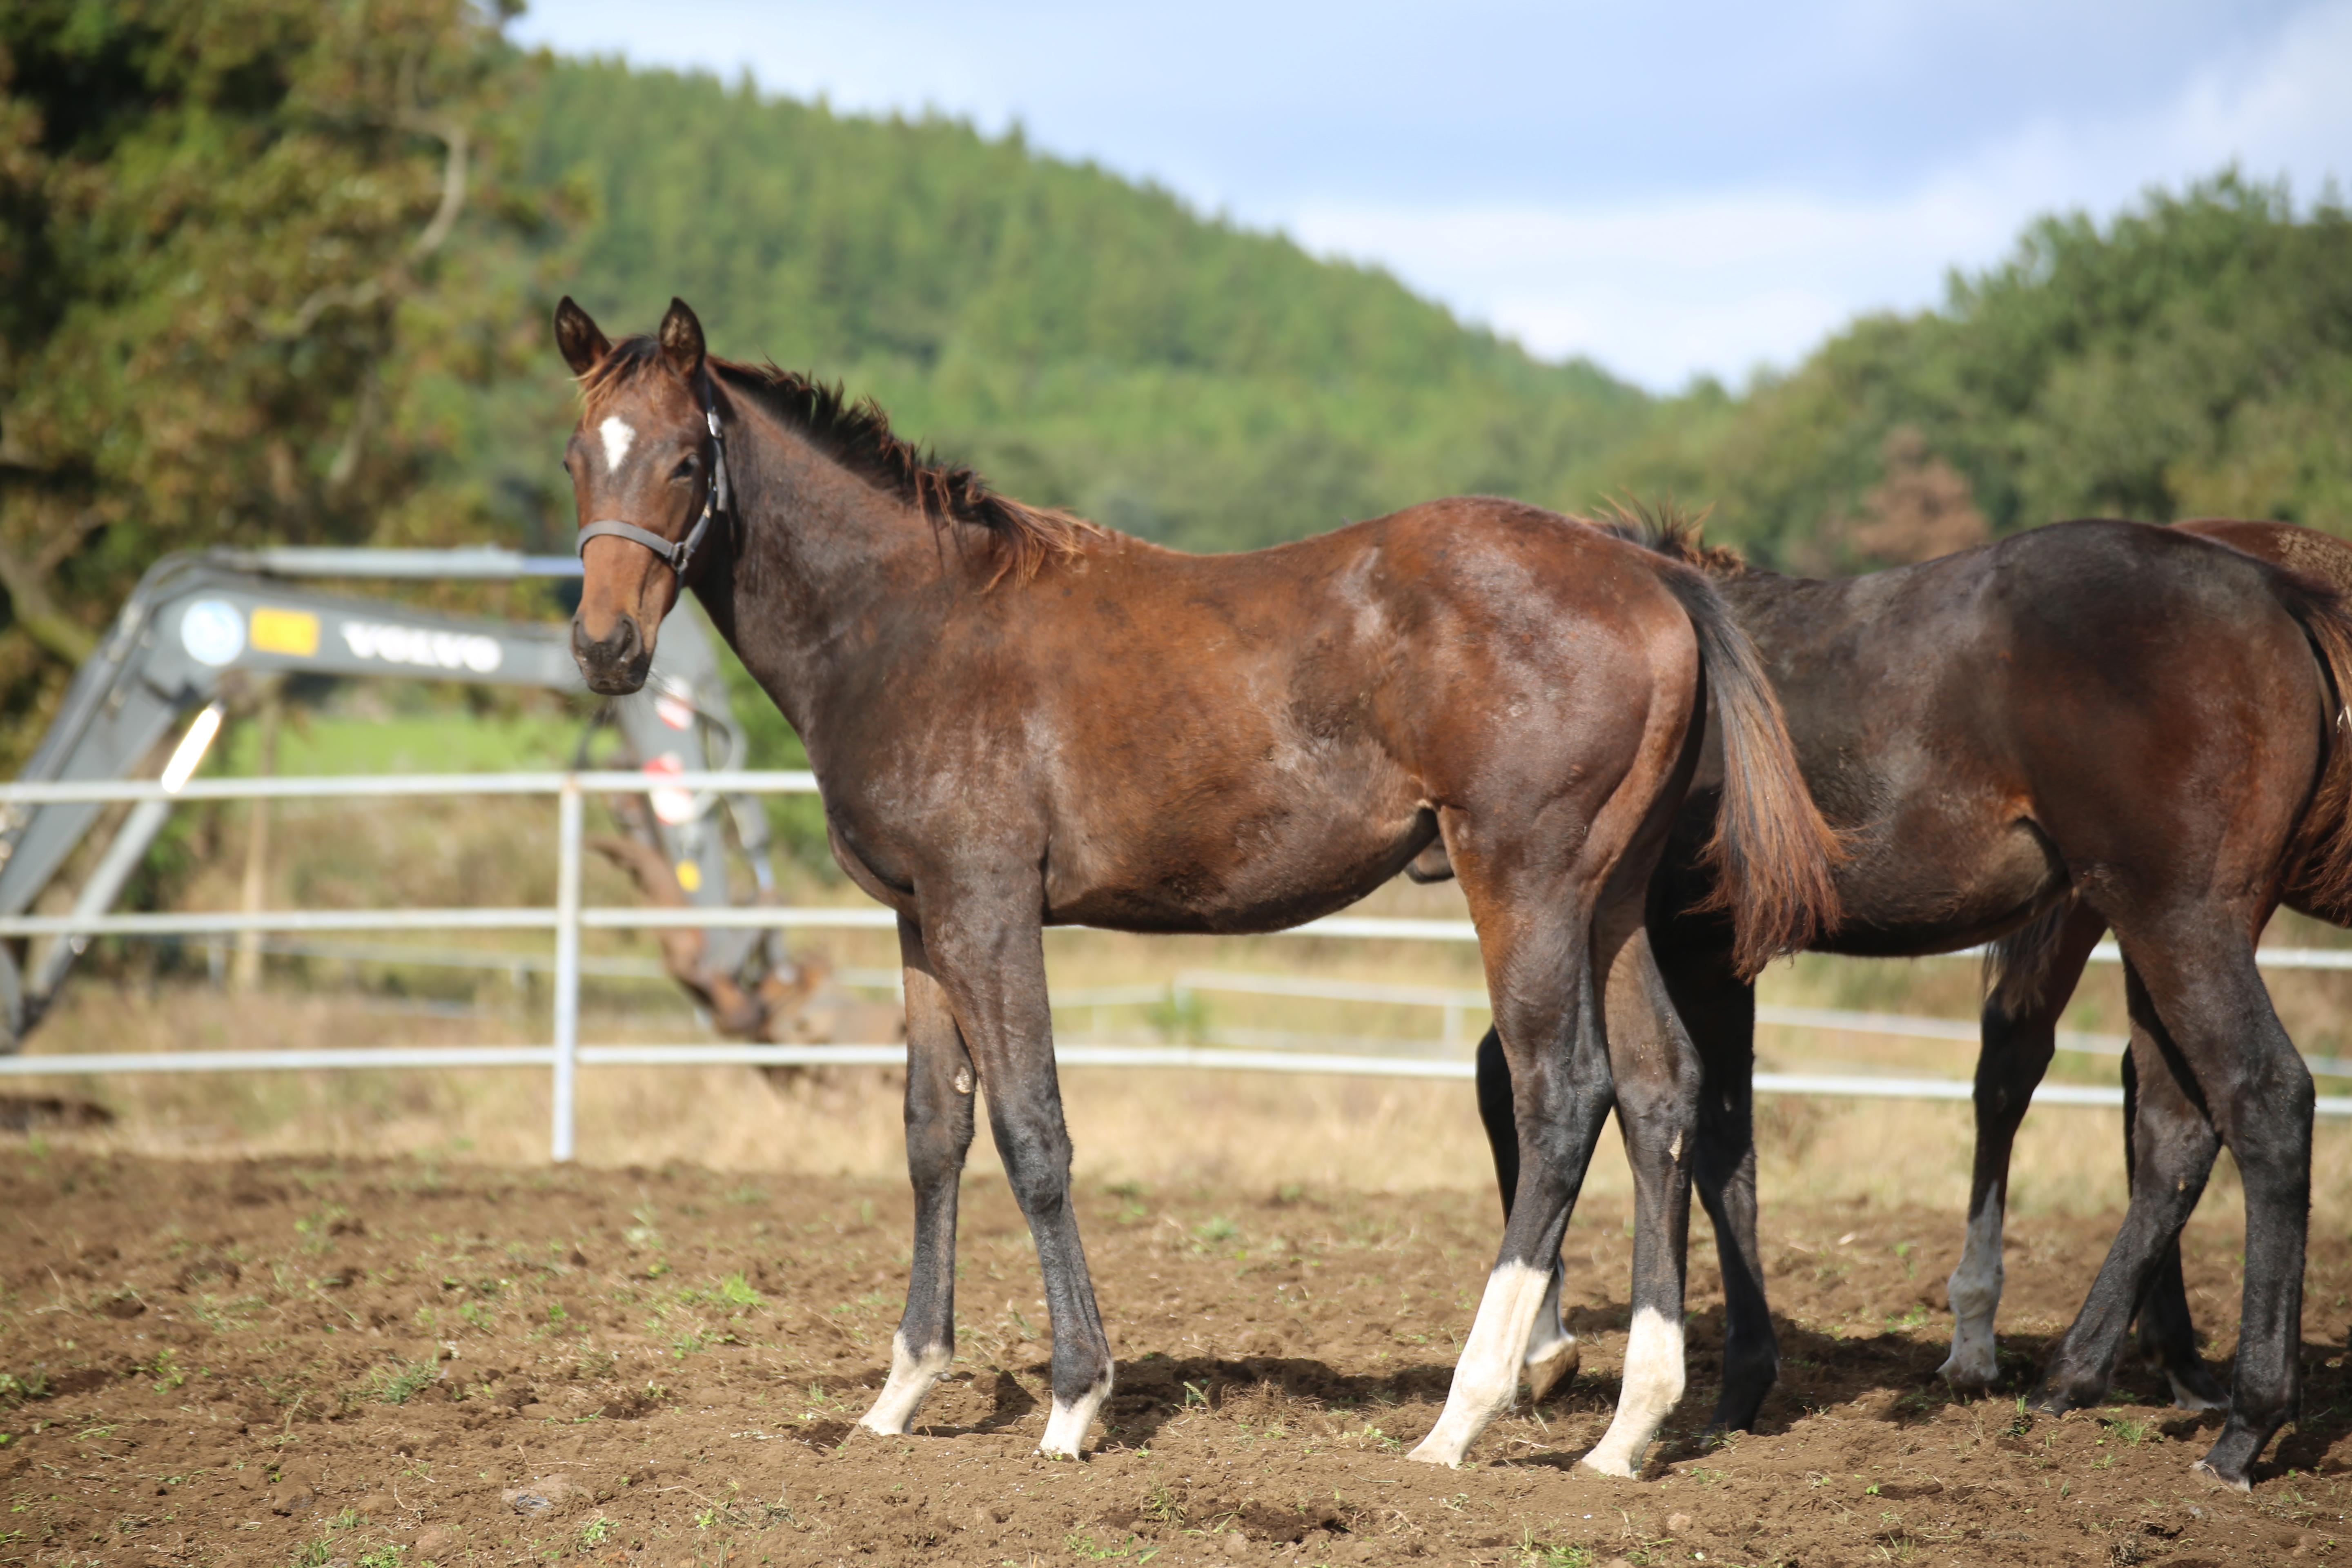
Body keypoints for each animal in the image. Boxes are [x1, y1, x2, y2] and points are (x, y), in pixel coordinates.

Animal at [550, 303, 1834, 1457]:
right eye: (575, 457)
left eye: (682, 458)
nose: (605, 649)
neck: (911, 624)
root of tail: (1654, 580)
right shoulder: (921, 922)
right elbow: (931, 1133)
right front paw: (898, 1396)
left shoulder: (987, 908)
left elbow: (1030, 1129)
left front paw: (1075, 1401)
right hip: (1610, 904)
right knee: (1662, 1091)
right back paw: (1630, 1427)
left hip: (1526, 884)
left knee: (1562, 1094)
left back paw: (1462, 1416)